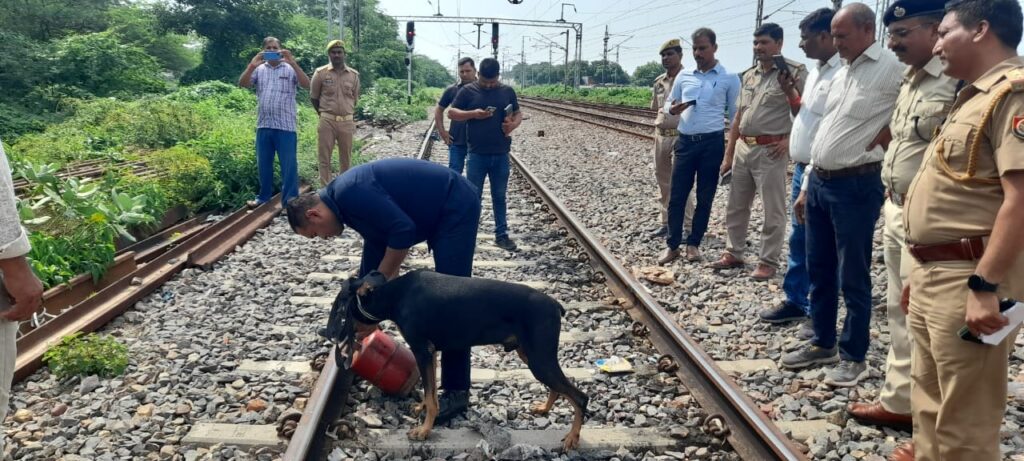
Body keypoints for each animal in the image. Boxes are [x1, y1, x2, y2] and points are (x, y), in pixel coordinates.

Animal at [323, 270, 589, 450]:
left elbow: (432, 396)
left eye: (342, 307)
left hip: (539, 358)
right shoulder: (431, 352)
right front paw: (421, 408)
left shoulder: (422, 349)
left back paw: (572, 438)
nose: (326, 333)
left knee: (580, 397)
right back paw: (544, 408)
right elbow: (429, 389)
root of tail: (555, 305)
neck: (396, 295)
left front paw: (423, 430)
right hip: (531, 354)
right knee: (558, 387)